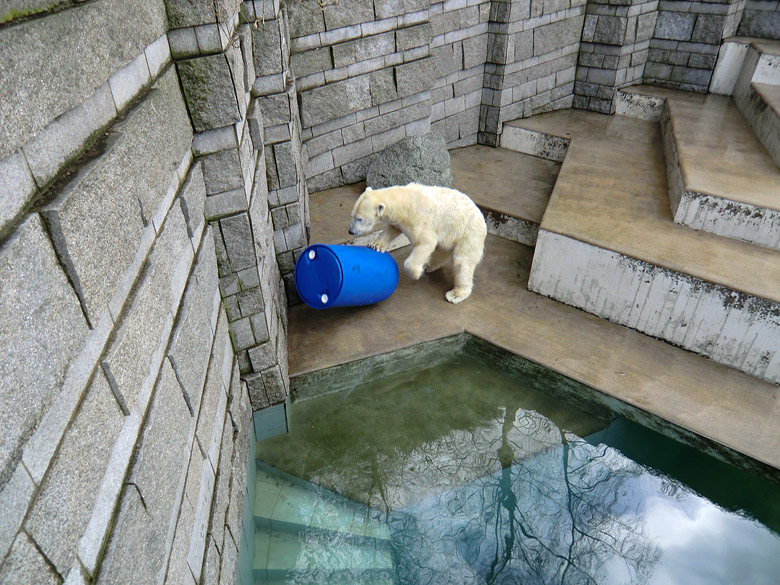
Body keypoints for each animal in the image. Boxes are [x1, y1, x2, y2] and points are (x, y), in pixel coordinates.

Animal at [348, 182, 484, 304]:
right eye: (352, 215)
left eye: (360, 219)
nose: (350, 231)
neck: (404, 199)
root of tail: (482, 218)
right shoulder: (399, 221)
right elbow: (392, 229)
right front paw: (375, 245)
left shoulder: (417, 219)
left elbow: (427, 241)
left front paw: (416, 273)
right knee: (443, 250)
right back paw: (429, 265)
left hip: (468, 233)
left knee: (463, 262)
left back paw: (455, 294)